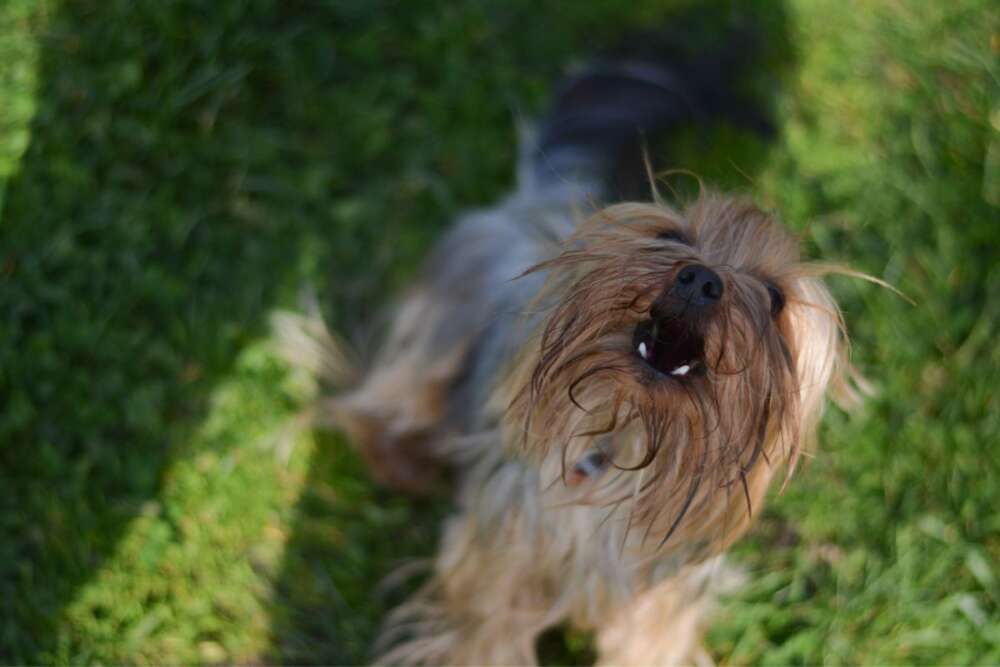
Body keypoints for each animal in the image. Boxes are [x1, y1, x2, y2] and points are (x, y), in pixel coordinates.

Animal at [272, 37, 868, 667]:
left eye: (776, 297)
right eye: (671, 238)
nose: (701, 279)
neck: (629, 441)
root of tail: (538, 198)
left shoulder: (658, 598)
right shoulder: (498, 568)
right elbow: (481, 635)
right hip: (435, 336)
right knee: (371, 398)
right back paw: (404, 459)